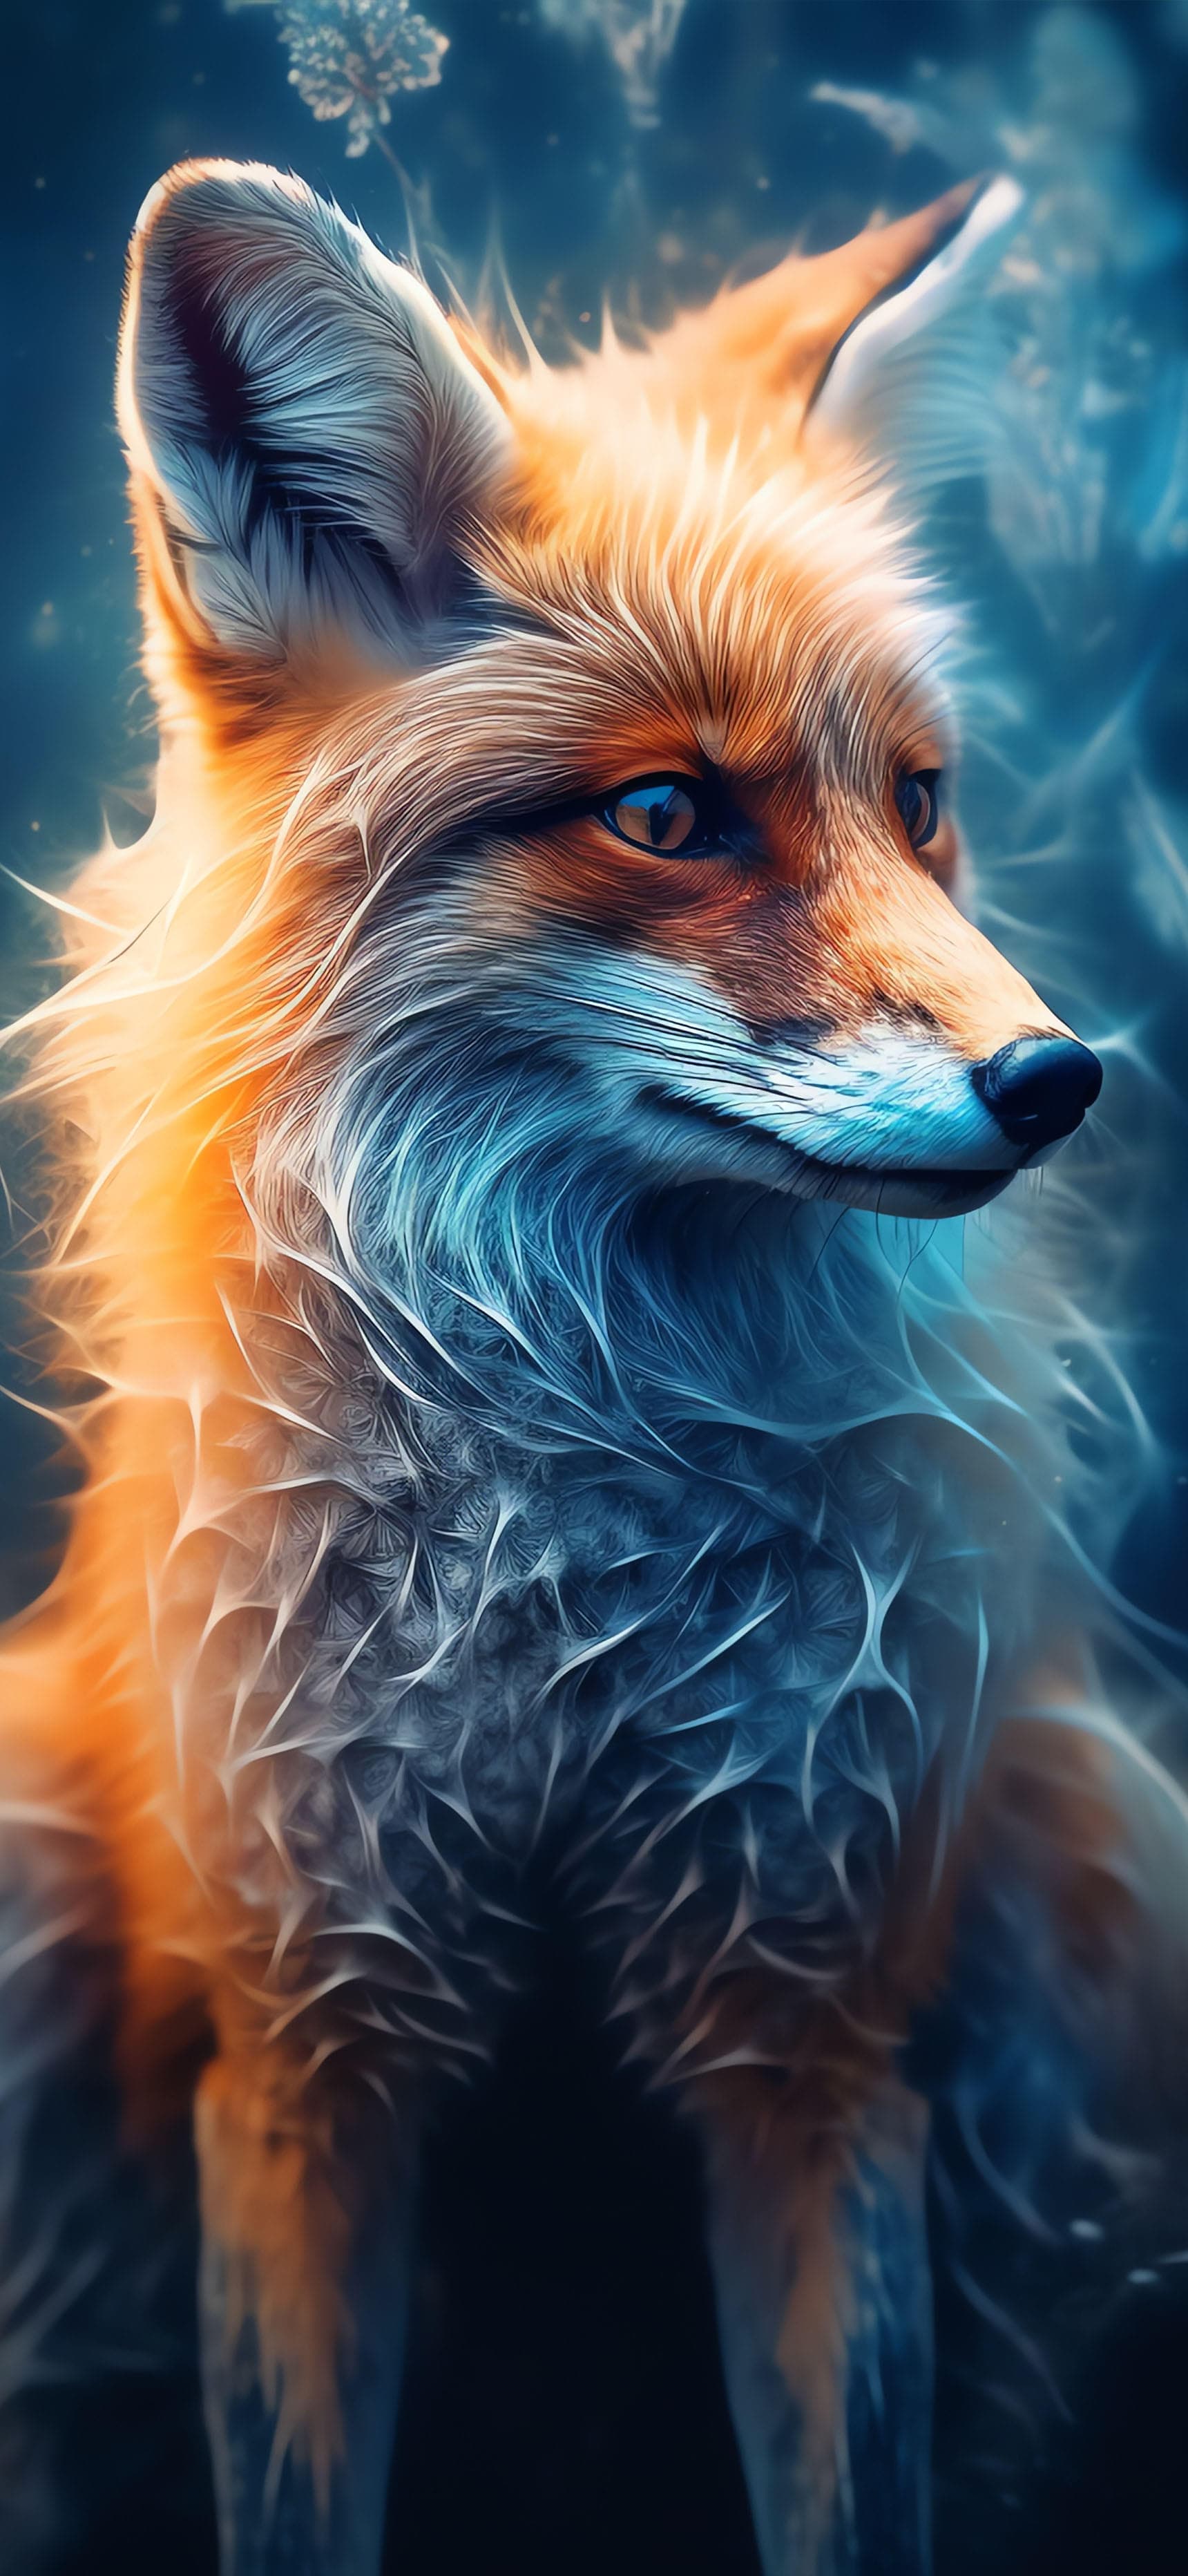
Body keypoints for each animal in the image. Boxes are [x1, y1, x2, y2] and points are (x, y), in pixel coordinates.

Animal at [1, 154, 1186, 2576]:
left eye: (920, 801)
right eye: (667, 817)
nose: (1057, 1083)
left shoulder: (813, 2022)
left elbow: (854, 2499)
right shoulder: (307, 2036)